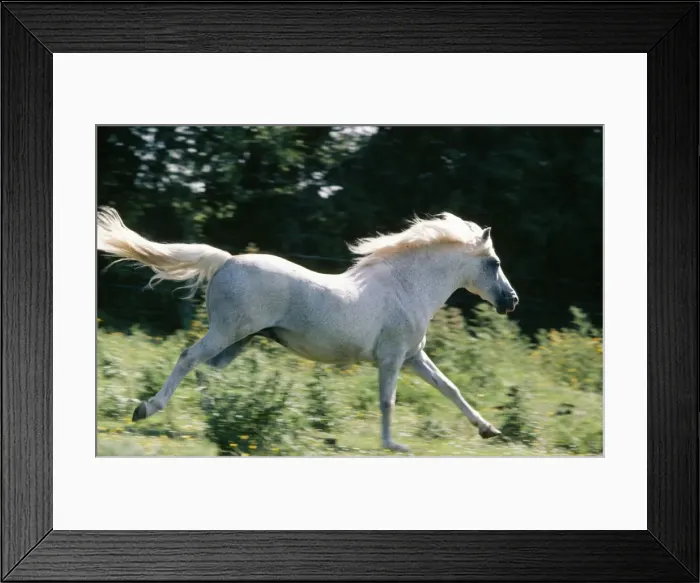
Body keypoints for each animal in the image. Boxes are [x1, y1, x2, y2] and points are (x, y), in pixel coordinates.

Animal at [97, 208, 519, 452]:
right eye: (495, 263)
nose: (511, 301)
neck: (407, 286)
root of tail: (226, 261)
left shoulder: (413, 357)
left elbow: (450, 388)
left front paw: (488, 430)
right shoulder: (392, 358)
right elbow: (388, 401)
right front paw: (393, 445)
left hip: (239, 340)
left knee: (204, 371)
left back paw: (215, 418)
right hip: (228, 333)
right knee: (188, 359)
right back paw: (146, 409)